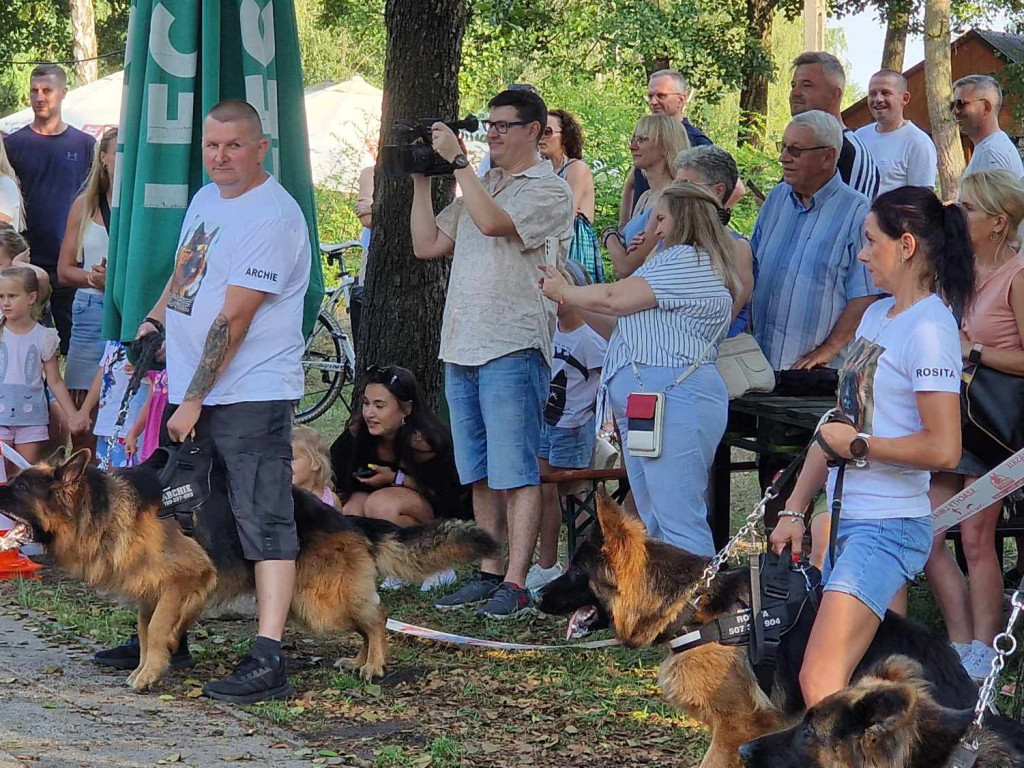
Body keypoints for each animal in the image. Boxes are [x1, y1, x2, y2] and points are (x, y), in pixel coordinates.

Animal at [0, 454, 497, 696]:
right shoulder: (153, 593)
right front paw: (151, 663)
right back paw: (359, 661)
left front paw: (148, 674)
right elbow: (148, 632)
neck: (99, 507)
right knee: (368, 618)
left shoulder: (186, 577)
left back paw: (373, 665)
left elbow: (158, 629)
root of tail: (346, 519)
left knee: (377, 616)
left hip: (316, 602)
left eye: (20, 487)